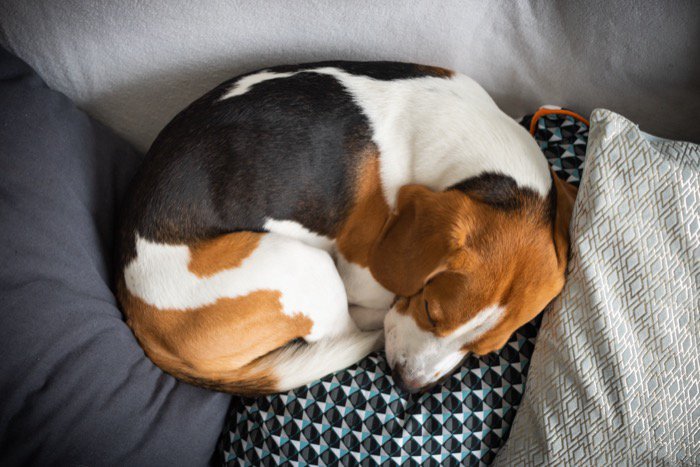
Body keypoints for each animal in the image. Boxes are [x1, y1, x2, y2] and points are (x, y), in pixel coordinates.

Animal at [115, 60, 576, 394]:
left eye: (482, 351)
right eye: (430, 309)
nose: (408, 385)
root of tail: (137, 318)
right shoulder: (362, 275)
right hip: (303, 267)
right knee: (346, 327)